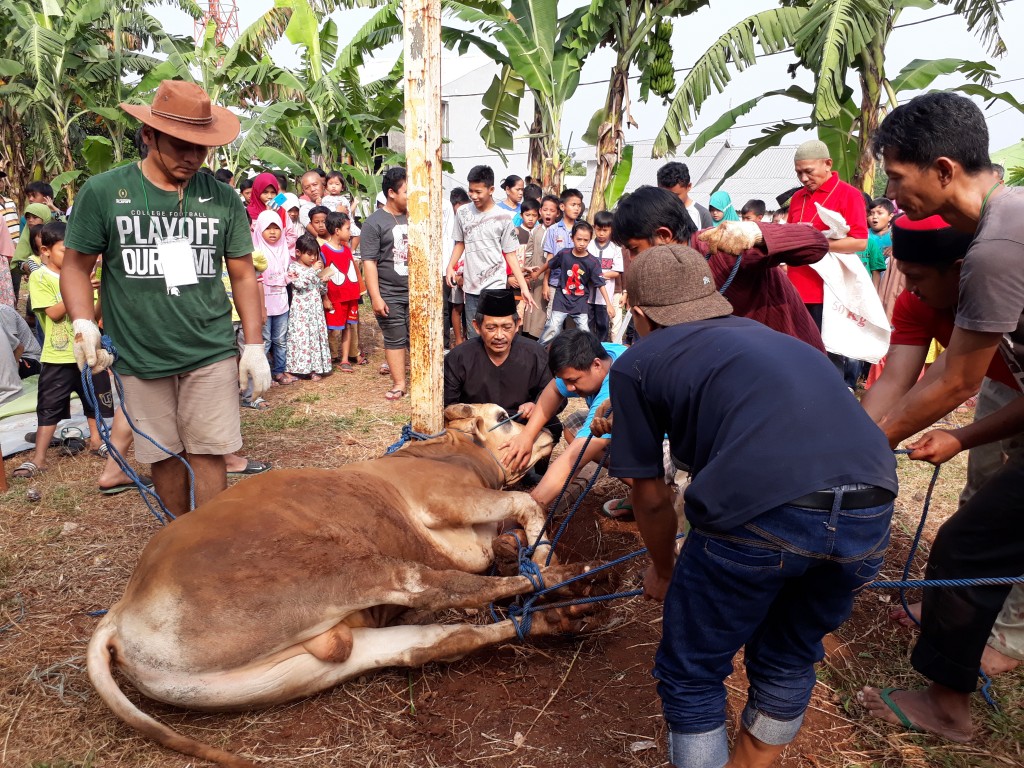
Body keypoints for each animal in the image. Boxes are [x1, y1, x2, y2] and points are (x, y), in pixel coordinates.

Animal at [88, 405, 606, 765]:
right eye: (503, 417)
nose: (553, 424)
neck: (448, 454)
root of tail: (119, 612)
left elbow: (512, 527)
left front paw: (530, 553)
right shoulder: (446, 498)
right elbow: (525, 502)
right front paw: (545, 556)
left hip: (294, 670)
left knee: (430, 644)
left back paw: (556, 617)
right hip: (339, 567)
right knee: (432, 586)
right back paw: (573, 580)